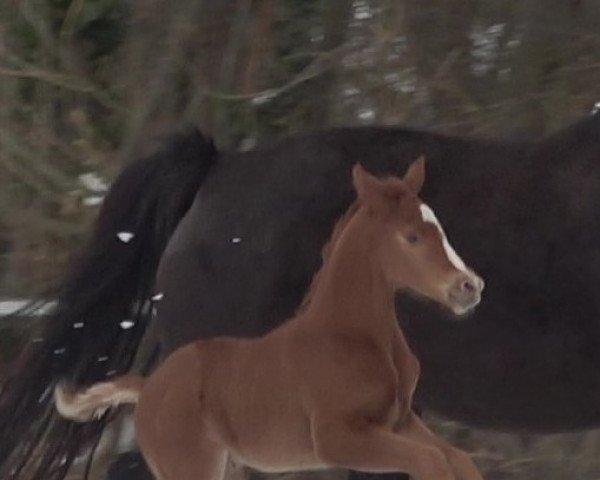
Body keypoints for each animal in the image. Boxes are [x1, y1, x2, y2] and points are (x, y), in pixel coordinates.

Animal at [56, 160, 486, 480]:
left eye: (439, 227)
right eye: (411, 237)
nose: (470, 286)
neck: (353, 336)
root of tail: (148, 388)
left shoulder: (400, 421)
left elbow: (458, 460)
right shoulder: (338, 438)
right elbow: (432, 462)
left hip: (228, 467)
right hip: (192, 467)